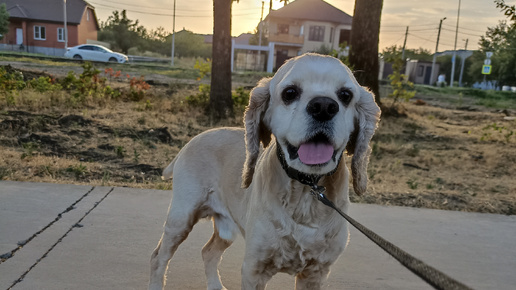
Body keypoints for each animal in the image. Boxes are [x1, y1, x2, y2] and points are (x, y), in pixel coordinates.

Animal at [149, 53, 378, 288]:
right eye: (289, 93)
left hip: (226, 228)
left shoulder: (316, 272)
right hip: (181, 218)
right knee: (158, 257)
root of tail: (193, 139)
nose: (323, 106)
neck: (306, 193)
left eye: (346, 95)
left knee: (208, 252)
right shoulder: (254, 267)